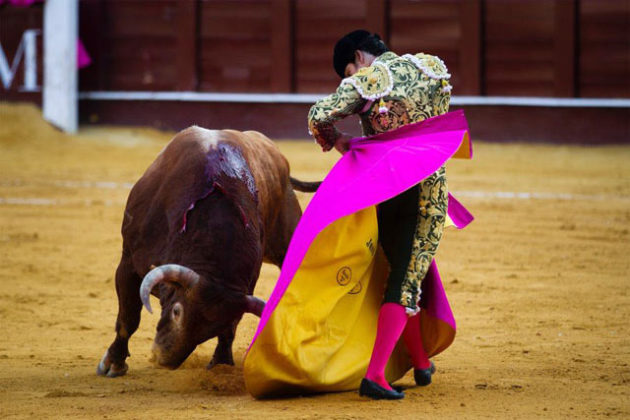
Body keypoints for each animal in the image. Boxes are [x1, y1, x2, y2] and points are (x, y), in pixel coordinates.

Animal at [97, 125, 318, 378]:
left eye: (209, 332)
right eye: (176, 311)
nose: (165, 360)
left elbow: (230, 330)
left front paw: (221, 364)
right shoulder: (128, 263)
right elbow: (128, 317)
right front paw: (114, 363)